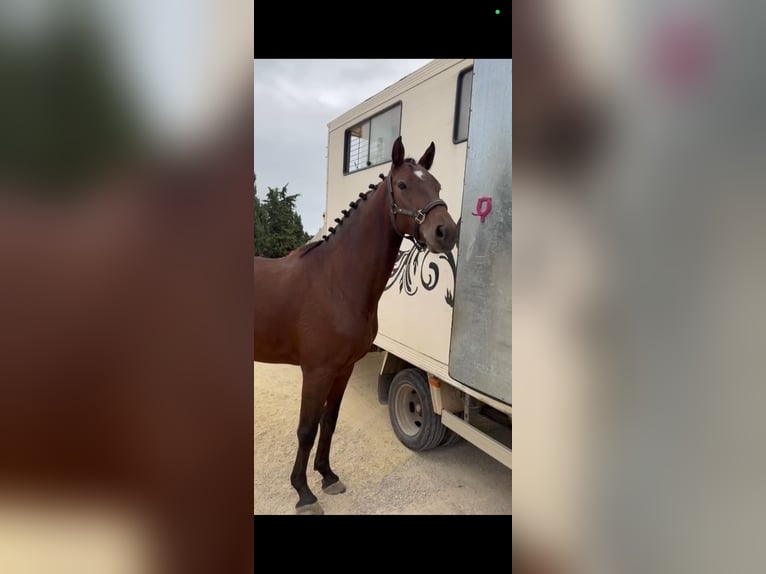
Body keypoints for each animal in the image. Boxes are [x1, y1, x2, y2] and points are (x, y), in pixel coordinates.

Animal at [254, 136, 458, 514]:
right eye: (403, 185)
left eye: (437, 186)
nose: (445, 231)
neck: (337, 281)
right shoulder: (316, 371)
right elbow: (306, 428)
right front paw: (304, 492)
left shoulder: (343, 368)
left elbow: (329, 421)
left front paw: (327, 476)